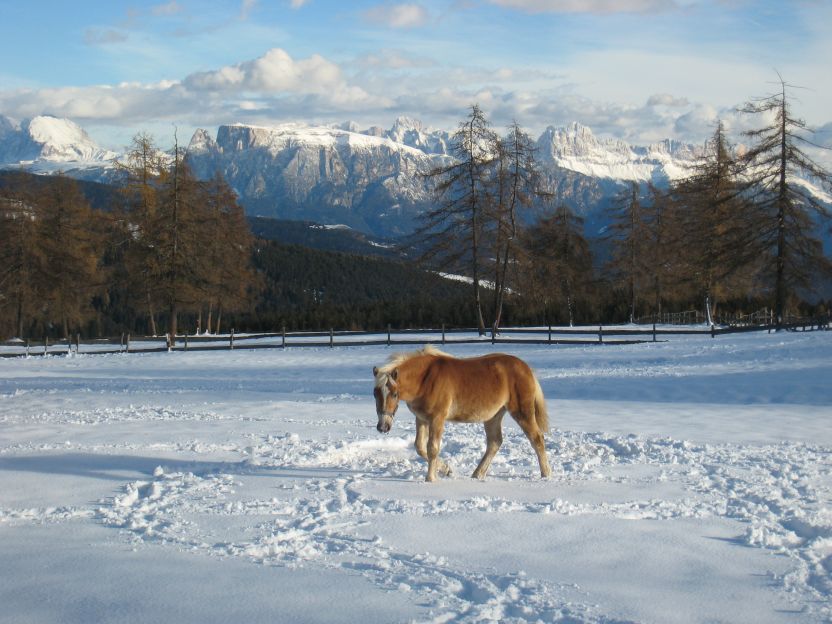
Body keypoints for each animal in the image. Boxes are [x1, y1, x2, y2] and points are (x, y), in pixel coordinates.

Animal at [372, 345, 551, 482]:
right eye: (375, 394)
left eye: (394, 394)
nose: (383, 427)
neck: (425, 379)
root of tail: (526, 368)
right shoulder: (421, 419)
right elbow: (419, 447)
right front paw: (446, 470)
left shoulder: (437, 418)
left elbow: (432, 448)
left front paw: (431, 478)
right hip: (493, 416)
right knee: (495, 442)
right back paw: (477, 474)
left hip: (522, 412)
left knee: (537, 439)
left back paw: (546, 474)